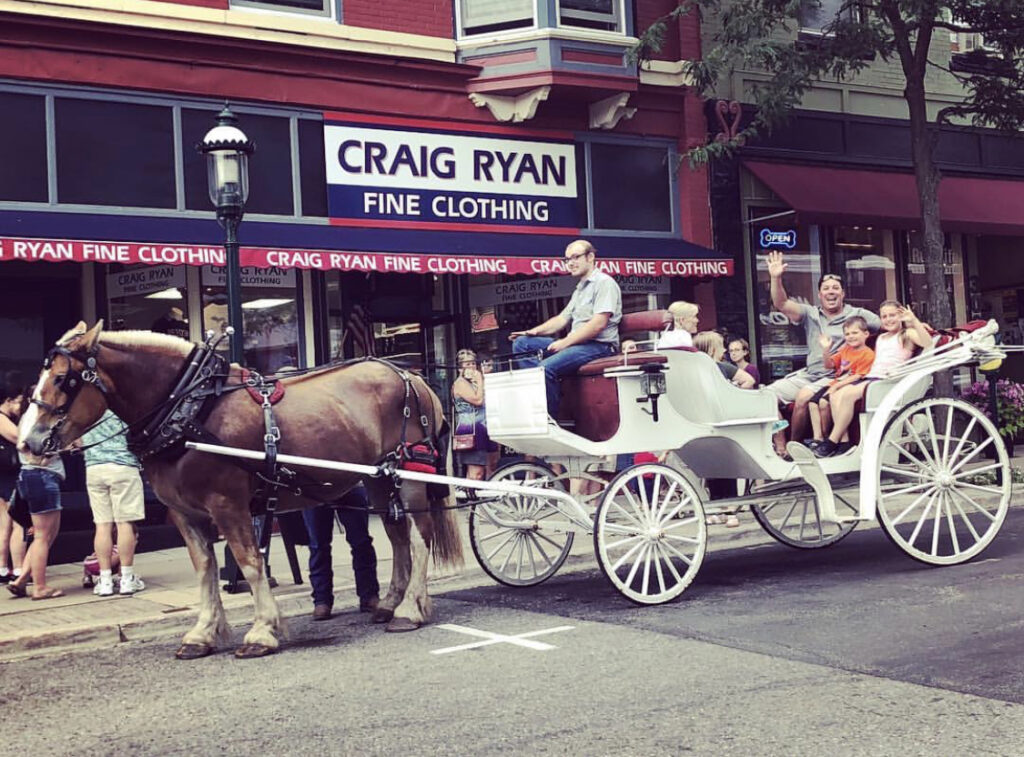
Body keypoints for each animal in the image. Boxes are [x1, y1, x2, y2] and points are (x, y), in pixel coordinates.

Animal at [18, 319, 464, 655]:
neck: (189, 407)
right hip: (377, 479)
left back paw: (409, 610)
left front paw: (262, 631)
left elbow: (249, 564)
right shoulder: (185, 512)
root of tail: (410, 374)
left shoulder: (227, 503)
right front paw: (203, 633)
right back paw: (389, 603)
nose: (28, 443)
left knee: (420, 537)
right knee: (398, 535)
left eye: (63, 379)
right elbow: (205, 569)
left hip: (409, 474)